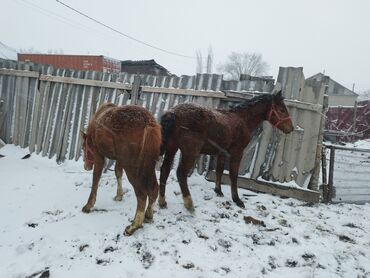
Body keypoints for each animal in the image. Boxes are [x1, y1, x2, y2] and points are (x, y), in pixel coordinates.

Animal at [80, 103, 161, 236]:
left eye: (83, 147)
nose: (86, 166)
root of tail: (149, 124)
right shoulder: (119, 158)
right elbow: (118, 172)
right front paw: (119, 195)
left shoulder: (99, 153)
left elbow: (96, 178)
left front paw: (88, 205)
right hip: (149, 163)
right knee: (154, 188)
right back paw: (148, 215)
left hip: (132, 164)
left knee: (142, 193)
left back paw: (133, 226)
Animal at [159, 91, 294, 211]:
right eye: (281, 110)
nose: (291, 128)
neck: (242, 119)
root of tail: (173, 113)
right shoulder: (237, 153)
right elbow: (233, 175)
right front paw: (237, 199)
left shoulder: (222, 153)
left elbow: (219, 171)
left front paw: (218, 191)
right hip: (190, 152)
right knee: (181, 174)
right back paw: (189, 203)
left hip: (172, 148)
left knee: (165, 170)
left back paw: (162, 202)